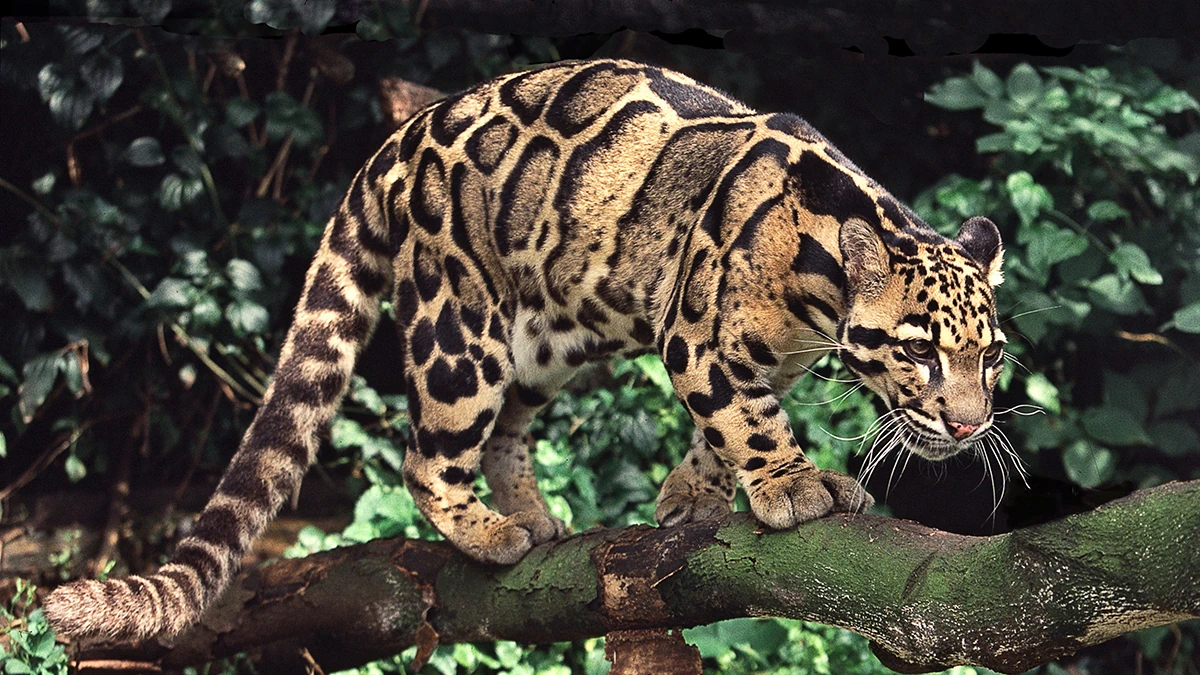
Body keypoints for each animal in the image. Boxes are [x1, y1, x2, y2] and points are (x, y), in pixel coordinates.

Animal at [44, 59, 1008, 643]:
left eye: (991, 356)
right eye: (921, 351)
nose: (969, 426)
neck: (819, 290)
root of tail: (401, 138)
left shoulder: (760, 356)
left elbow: (718, 428)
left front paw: (690, 494)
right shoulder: (697, 338)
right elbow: (746, 417)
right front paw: (794, 483)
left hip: (543, 343)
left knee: (508, 429)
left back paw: (533, 514)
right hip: (459, 330)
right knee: (424, 454)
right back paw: (487, 530)